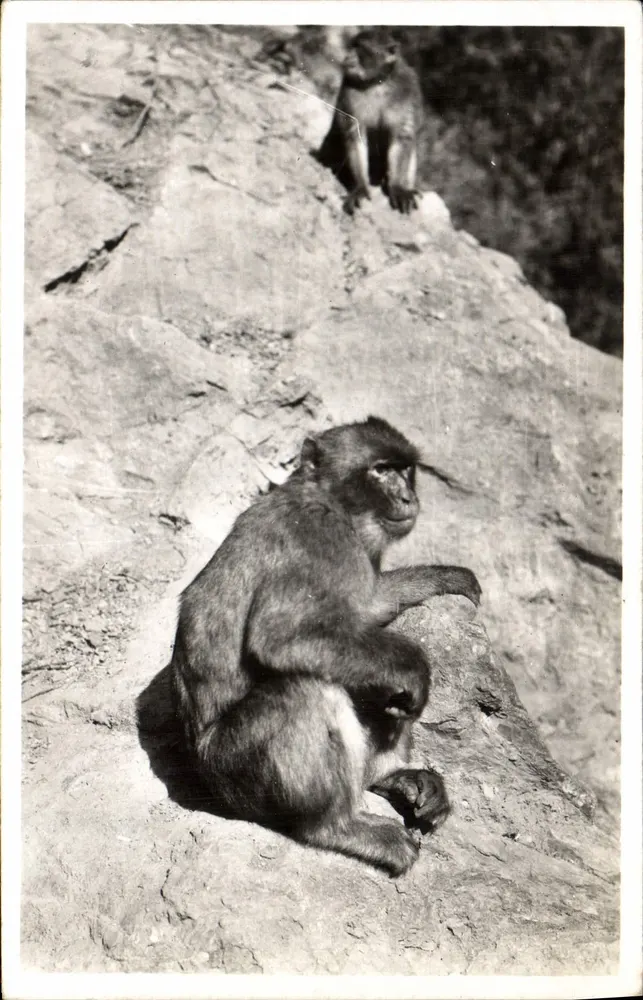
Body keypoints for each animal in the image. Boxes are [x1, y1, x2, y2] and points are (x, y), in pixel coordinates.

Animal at [171, 417, 481, 876]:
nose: (407, 496)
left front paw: (446, 577)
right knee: (305, 689)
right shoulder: (319, 536)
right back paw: (336, 827)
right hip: (236, 776)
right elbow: (282, 638)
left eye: (405, 469)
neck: (329, 499)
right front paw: (416, 669)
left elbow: (367, 607)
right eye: (381, 470)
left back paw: (391, 775)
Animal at [318, 28, 423, 215]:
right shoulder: (349, 90)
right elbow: (355, 135)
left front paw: (397, 187)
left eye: (360, 48)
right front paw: (360, 188)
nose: (348, 56)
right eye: (352, 45)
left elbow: (402, 138)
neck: (378, 82)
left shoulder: (409, 90)